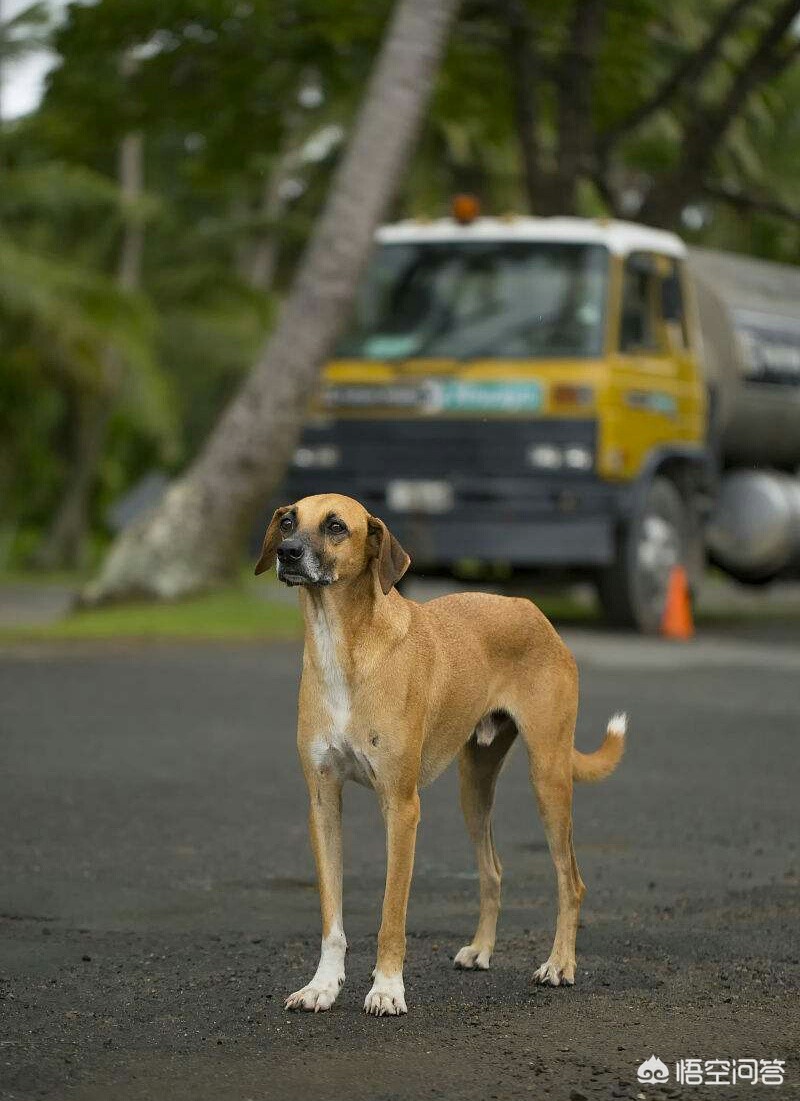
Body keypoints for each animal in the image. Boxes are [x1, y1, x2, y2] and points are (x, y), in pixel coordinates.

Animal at [256, 493, 625, 1012]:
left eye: (336, 527)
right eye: (288, 521)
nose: (287, 553)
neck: (344, 648)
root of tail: (531, 610)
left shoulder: (402, 808)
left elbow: (392, 914)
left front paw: (387, 988)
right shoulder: (323, 804)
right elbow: (332, 918)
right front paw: (322, 986)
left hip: (548, 777)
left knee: (570, 880)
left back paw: (559, 965)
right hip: (473, 790)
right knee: (492, 872)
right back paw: (482, 950)